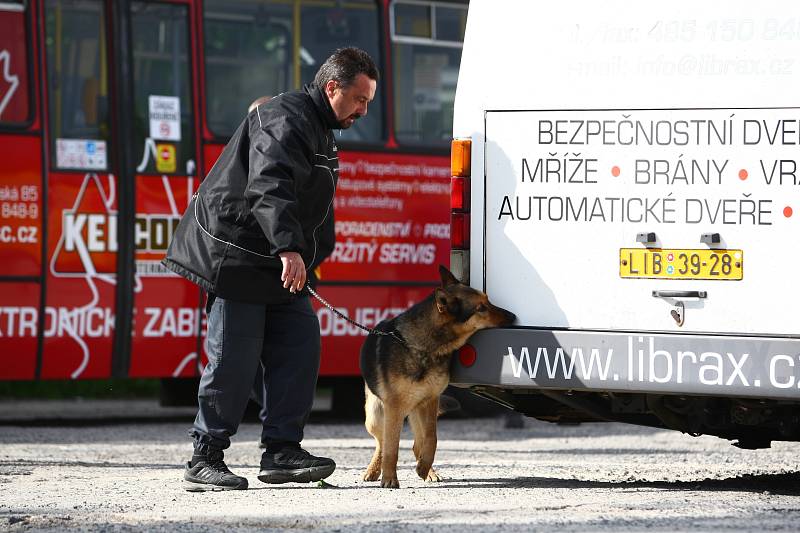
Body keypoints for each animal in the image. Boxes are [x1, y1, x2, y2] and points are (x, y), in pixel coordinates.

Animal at [360, 264, 516, 486]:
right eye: (481, 308)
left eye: (488, 301)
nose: (513, 317)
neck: (426, 347)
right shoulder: (394, 408)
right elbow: (392, 448)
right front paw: (389, 478)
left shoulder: (430, 401)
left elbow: (431, 439)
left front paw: (424, 468)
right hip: (375, 415)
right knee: (382, 441)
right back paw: (374, 470)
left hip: (417, 410)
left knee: (417, 443)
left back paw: (429, 471)